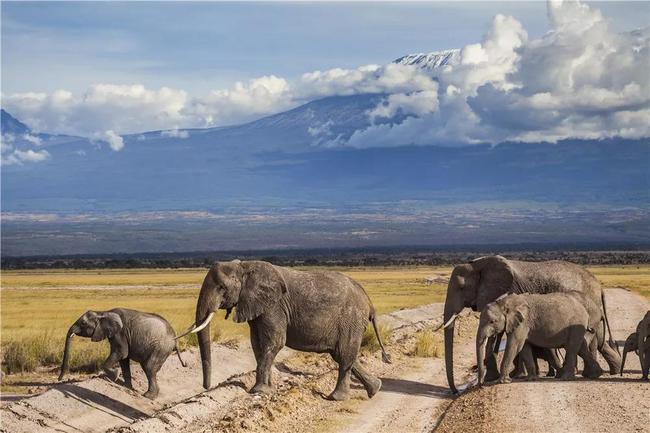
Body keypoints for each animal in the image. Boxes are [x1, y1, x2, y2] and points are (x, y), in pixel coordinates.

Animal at [177, 258, 390, 400]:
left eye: (222, 287)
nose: (206, 388)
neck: (245, 266)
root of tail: (368, 300)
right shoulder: (258, 306)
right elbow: (257, 344)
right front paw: (268, 389)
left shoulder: (275, 306)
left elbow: (275, 342)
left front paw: (258, 392)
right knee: (342, 354)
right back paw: (375, 389)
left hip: (351, 318)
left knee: (344, 355)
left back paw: (335, 398)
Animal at [440, 255, 616, 394]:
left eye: (461, 287)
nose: (455, 392)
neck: (479, 263)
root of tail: (599, 286)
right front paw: (508, 376)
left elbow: (504, 339)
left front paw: (496, 378)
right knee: (595, 343)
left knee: (587, 341)